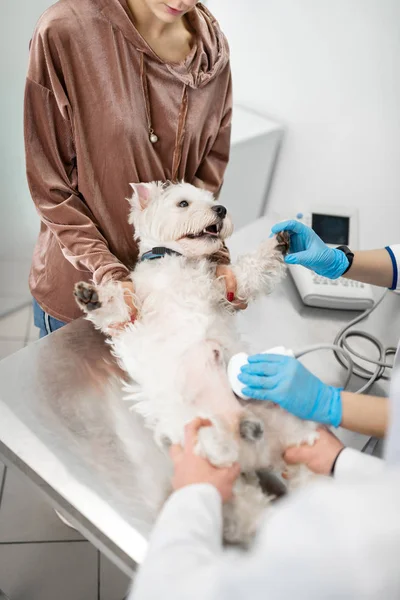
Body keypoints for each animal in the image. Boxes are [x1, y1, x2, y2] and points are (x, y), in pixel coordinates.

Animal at [74, 179, 318, 544]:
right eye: (183, 203)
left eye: (212, 199)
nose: (221, 210)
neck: (175, 261)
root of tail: (257, 450)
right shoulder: (132, 316)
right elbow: (115, 309)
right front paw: (93, 296)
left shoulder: (227, 286)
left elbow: (252, 268)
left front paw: (281, 239)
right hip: (212, 455)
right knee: (244, 507)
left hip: (293, 433)